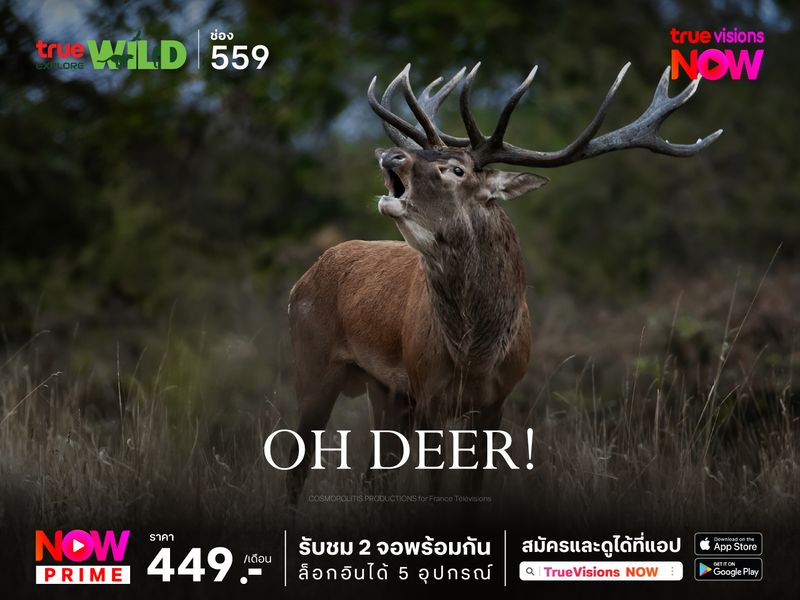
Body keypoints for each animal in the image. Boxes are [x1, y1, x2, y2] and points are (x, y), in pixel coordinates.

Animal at [286, 61, 721, 505]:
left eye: (456, 169)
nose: (390, 154)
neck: (474, 356)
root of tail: (302, 279)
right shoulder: (429, 395)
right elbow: (436, 486)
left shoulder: (495, 403)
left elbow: (472, 485)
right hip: (313, 365)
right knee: (297, 466)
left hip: (386, 391)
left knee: (372, 477)